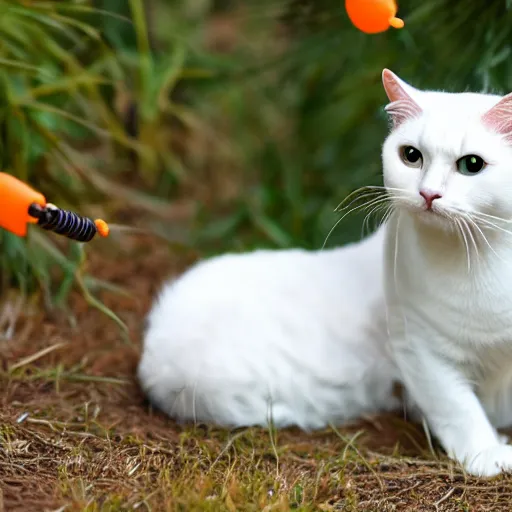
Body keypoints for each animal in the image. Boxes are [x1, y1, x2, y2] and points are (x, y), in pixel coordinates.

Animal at [139, 70, 512, 478]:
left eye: (472, 165)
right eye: (411, 156)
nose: (428, 193)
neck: (479, 260)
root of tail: (151, 354)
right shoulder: (420, 349)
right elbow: (458, 410)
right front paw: (488, 456)